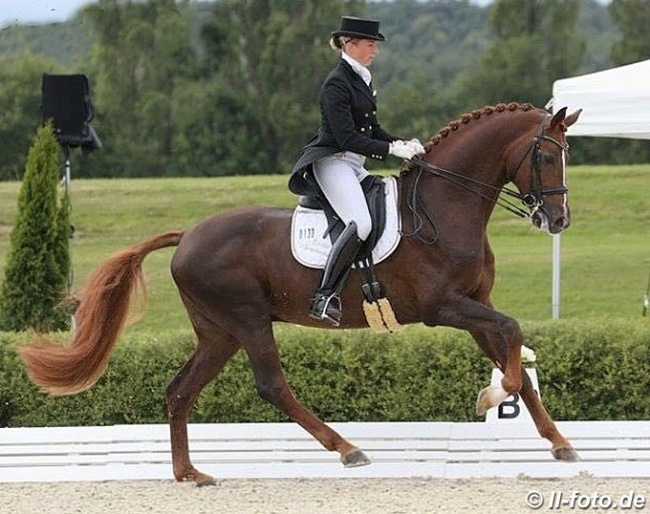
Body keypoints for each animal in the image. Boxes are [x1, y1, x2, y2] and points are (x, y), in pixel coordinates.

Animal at [17, 102, 580, 482]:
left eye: (565, 155)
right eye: (546, 157)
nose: (557, 220)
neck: (445, 206)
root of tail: (189, 234)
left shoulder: (475, 306)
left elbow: (515, 355)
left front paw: (559, 442)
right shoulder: (443, 308)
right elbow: (513, 337)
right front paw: (492, 395)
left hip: (218, 333)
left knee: (180, 390)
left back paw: (190, 474)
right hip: (246, 320)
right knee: (271, 385)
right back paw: (347, 449)